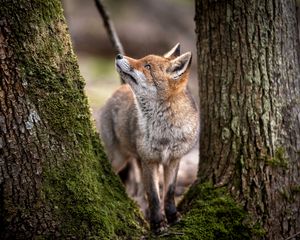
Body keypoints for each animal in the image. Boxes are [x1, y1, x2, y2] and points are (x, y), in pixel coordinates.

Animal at [99, 43, 200, 232]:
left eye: (147, 66)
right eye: (142, 60)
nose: (118, 55)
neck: (165, 133)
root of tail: (118, 89)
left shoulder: (173, 160)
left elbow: (168, 193)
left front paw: (172, 217)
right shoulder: (150, 161)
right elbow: (153, 195)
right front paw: (157, 224)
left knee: (140, 192)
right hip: (118, 159)